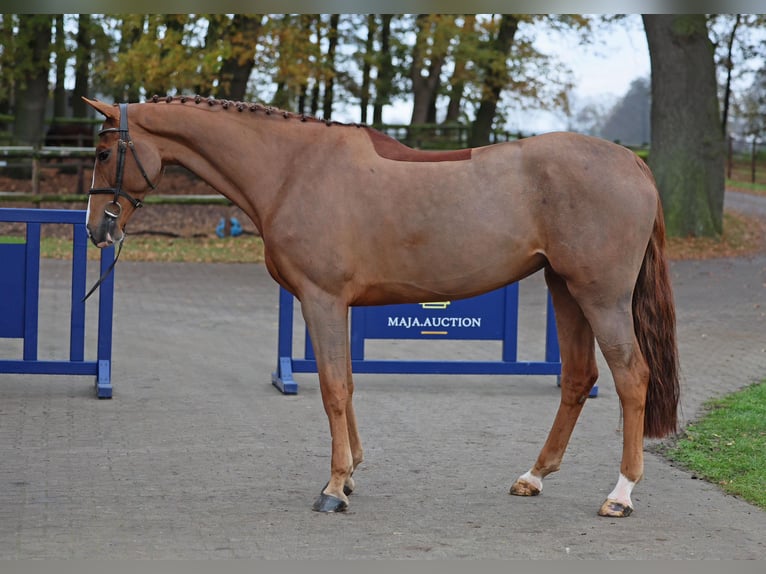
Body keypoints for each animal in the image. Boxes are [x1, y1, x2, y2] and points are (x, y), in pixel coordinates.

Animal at [84, 97, 680, 520]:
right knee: (578, 378)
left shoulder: (322, 299)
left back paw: (621, 493)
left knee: (632, 377)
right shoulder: (335, 304)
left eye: (104, 153)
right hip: (565, 289)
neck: (293, 169)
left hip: (600, 296)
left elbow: (332, 389)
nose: (98, 230)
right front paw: (349, 475)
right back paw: (534, 476)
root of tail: (633, 162)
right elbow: (346, 384)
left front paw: (333, 488)